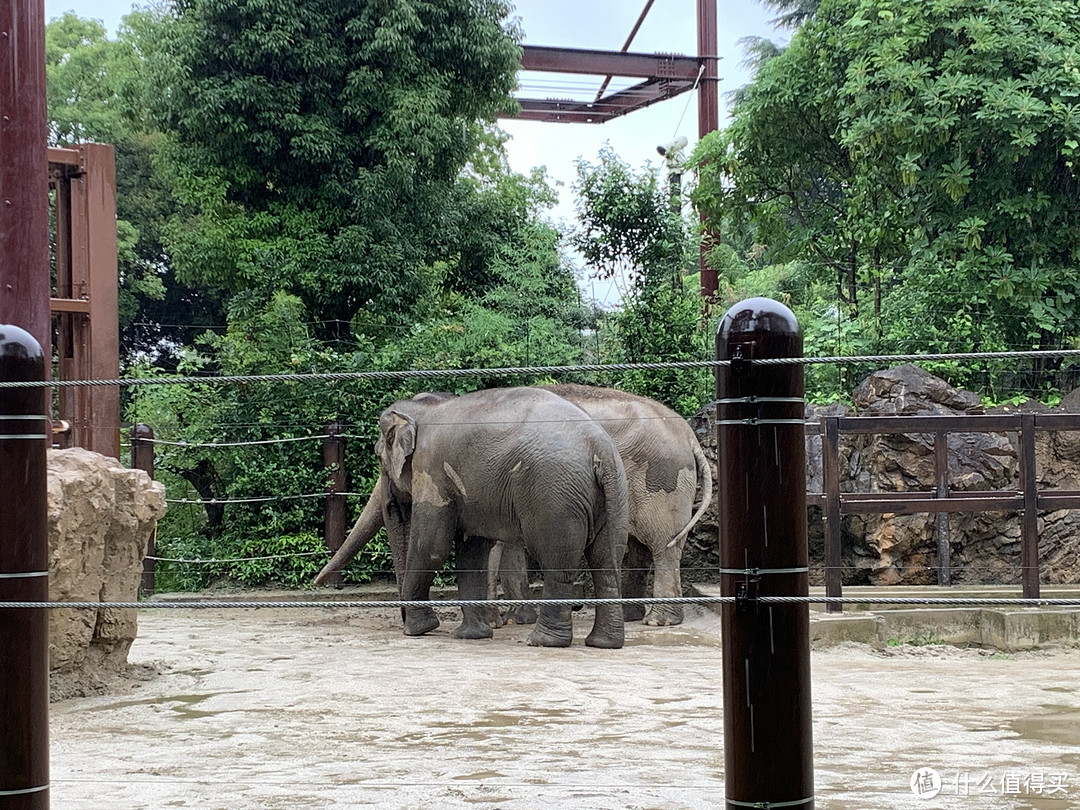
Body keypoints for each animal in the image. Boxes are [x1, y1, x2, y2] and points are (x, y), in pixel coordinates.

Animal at [315, 388, 630, 652]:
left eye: (379, 457)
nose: (318, 582)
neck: (425, 407)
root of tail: (599, 449)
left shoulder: (432, 471)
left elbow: (432, 547)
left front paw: (418, 630)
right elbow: (472, 551)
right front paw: (470, 635)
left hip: (554, 495)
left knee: (557, 561)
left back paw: (543, 641)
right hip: (612, 495)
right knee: (606, 560)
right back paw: (603, 643)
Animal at [494, 384, 712, 626]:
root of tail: (687, 432)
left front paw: (497, 623)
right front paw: (516, 620)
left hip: (661, 479)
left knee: (662, 544)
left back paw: (657, 621)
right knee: (640, 548)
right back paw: (629, 616)